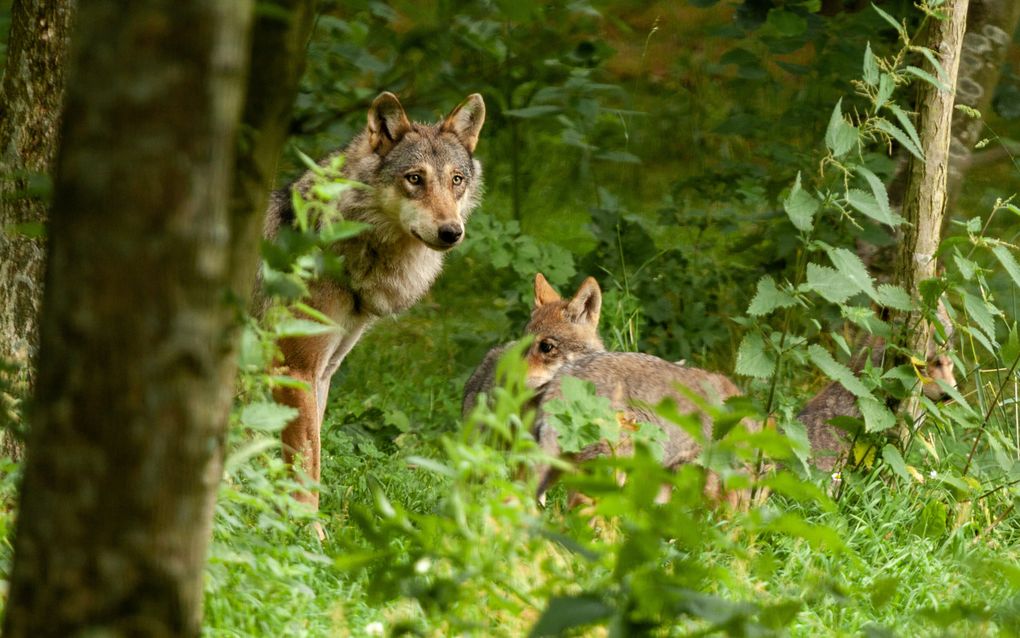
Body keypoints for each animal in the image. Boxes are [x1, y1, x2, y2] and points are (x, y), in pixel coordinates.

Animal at [263, 92, 486, 510]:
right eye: (414, 179)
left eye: (456, 180)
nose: (451, 232)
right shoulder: (294, 371)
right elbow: (306, 468)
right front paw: (305, 527)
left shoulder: (323, 374)